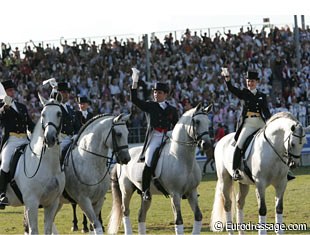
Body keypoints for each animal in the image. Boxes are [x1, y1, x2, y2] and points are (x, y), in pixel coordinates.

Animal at [3, 94, 65, 234]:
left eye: (59, 113)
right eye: (43, 114)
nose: (49, 138)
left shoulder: (52, 203)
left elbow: (48, 229)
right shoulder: (32, 202)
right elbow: (34, 230)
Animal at [108, 103, 212, 235]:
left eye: (208, 122)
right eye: (197, 121)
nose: (206, 144)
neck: (181, 157)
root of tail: (123, 158)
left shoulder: (192, 192)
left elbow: (198, 216)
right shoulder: (175, 194)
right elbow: (178, 221)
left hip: (145, 195)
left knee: (141, 215)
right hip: (126, 190)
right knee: (125, 211)